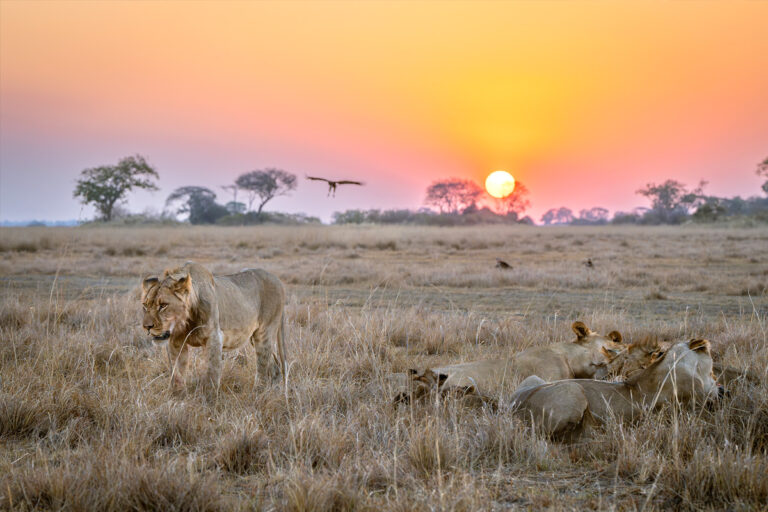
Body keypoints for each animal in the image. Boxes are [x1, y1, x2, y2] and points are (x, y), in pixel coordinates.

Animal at [140, 262, 286, 394]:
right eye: (145, 305)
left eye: (163, 305)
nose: (147, 327)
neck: (185, 322)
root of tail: (277, 280)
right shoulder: (176, 341)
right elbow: (177, 372)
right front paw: (178, 396)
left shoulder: (214, 337)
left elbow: (211, 372)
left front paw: (208, 400)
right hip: (253, 337)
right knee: (274, 364)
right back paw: (273, 391)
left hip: (264, 333)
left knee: (263, 364)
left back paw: (258, 392)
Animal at [509, 338, 721, 440]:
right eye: (712, 372)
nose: (723, 390)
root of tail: (515, 405)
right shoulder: (693, 404)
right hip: (573, 390)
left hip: (534, 379)